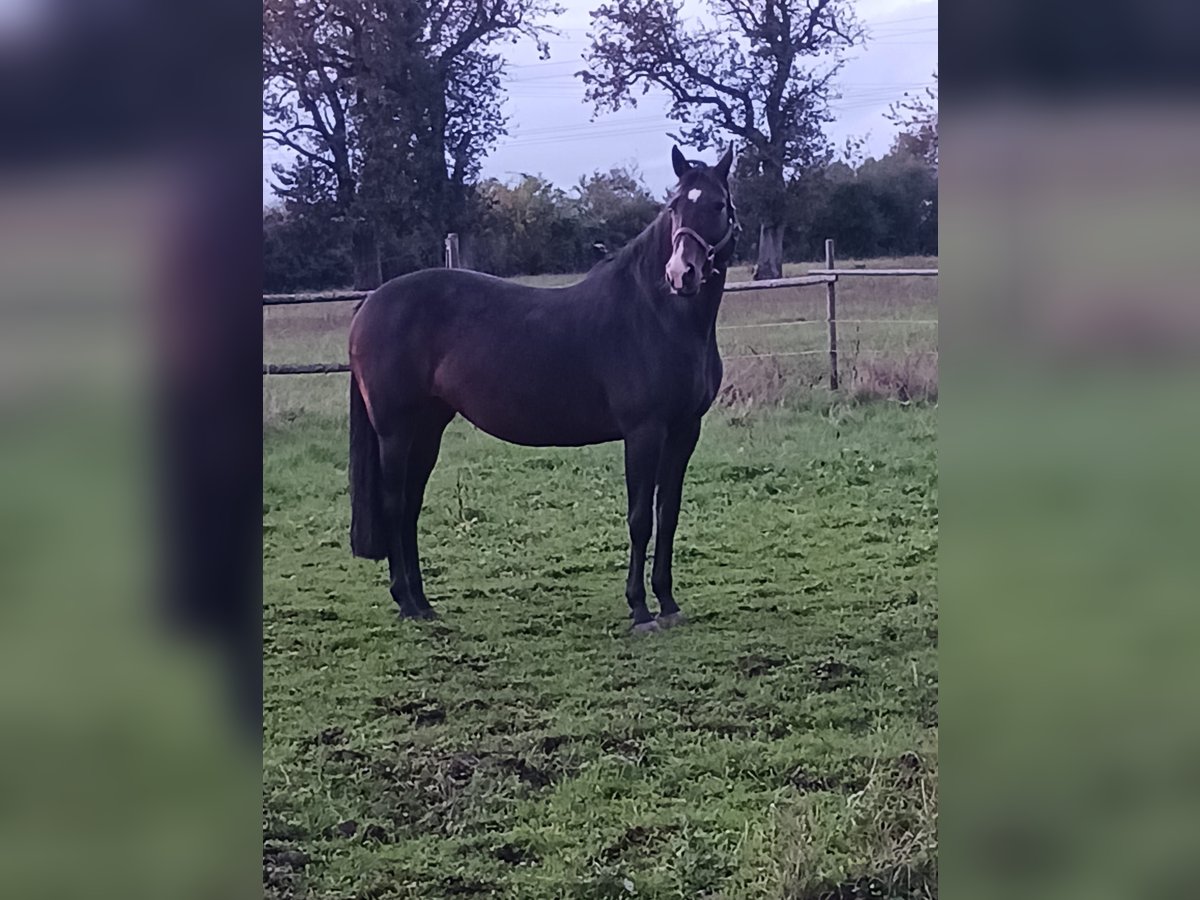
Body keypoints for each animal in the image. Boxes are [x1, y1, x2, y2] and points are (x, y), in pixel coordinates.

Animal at [348, 144, 739, 632]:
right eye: (674, 207)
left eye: (718, 205)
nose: (681, 273)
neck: (658, 314)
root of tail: (370, 304)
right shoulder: (644, 433)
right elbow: (639, 520)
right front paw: (640, 609)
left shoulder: (684, 431)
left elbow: (667, 516)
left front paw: (667, 603)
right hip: (396, 431)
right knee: (395, 505)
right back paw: (405, 602)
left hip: (427, 429)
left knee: (410, 509)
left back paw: (421, 602)